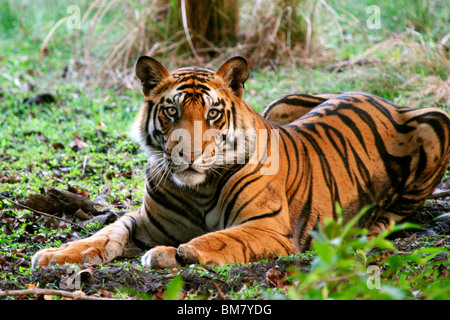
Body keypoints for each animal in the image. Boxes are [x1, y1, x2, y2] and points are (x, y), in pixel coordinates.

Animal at [31, 56, 450, 268]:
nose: (188, 155)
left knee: (401, 212)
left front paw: (172, 253)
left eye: (213, 114)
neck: (196, 190)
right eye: (171, 110)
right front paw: (55, 255)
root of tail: (382, 97)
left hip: (435, 121)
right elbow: (105, 233)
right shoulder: (145, 220)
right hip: (281, 102)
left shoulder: (267, 227)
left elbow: (219, 237)